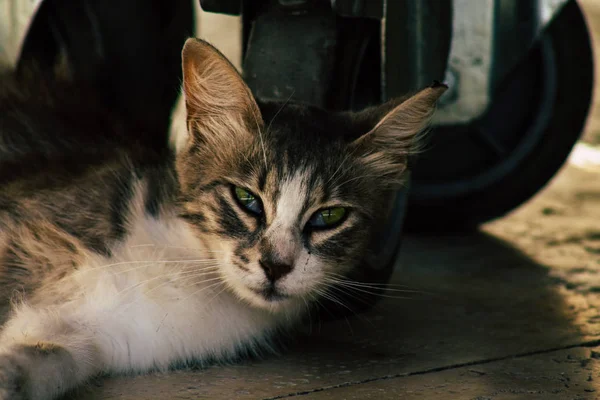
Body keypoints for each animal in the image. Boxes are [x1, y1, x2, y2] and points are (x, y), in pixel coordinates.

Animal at [0, 38, 446, 400]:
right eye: (247, 199)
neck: (191, 271)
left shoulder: (102, 336)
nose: (276, 266)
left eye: (329, 216)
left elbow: (52, 355)